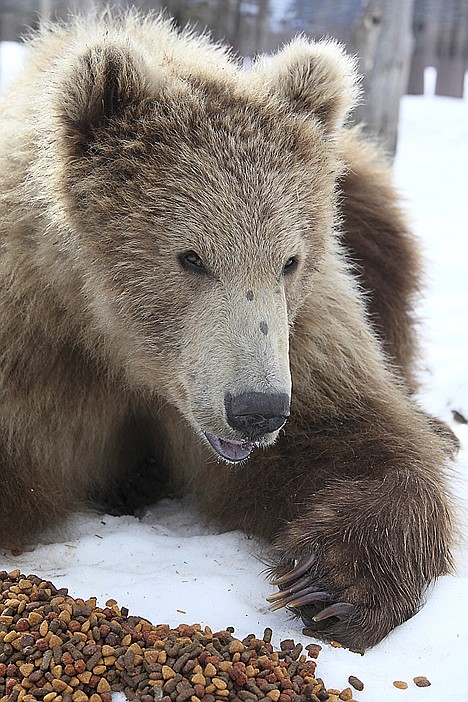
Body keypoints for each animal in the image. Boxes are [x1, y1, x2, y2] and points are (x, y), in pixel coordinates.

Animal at [0, 8, 458, 652]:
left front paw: (331, 580)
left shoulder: (302, 336)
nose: (256, 410)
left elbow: (357, 440)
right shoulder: (35, 347)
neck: (119, 346)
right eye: (191, 257)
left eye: (288, 260)